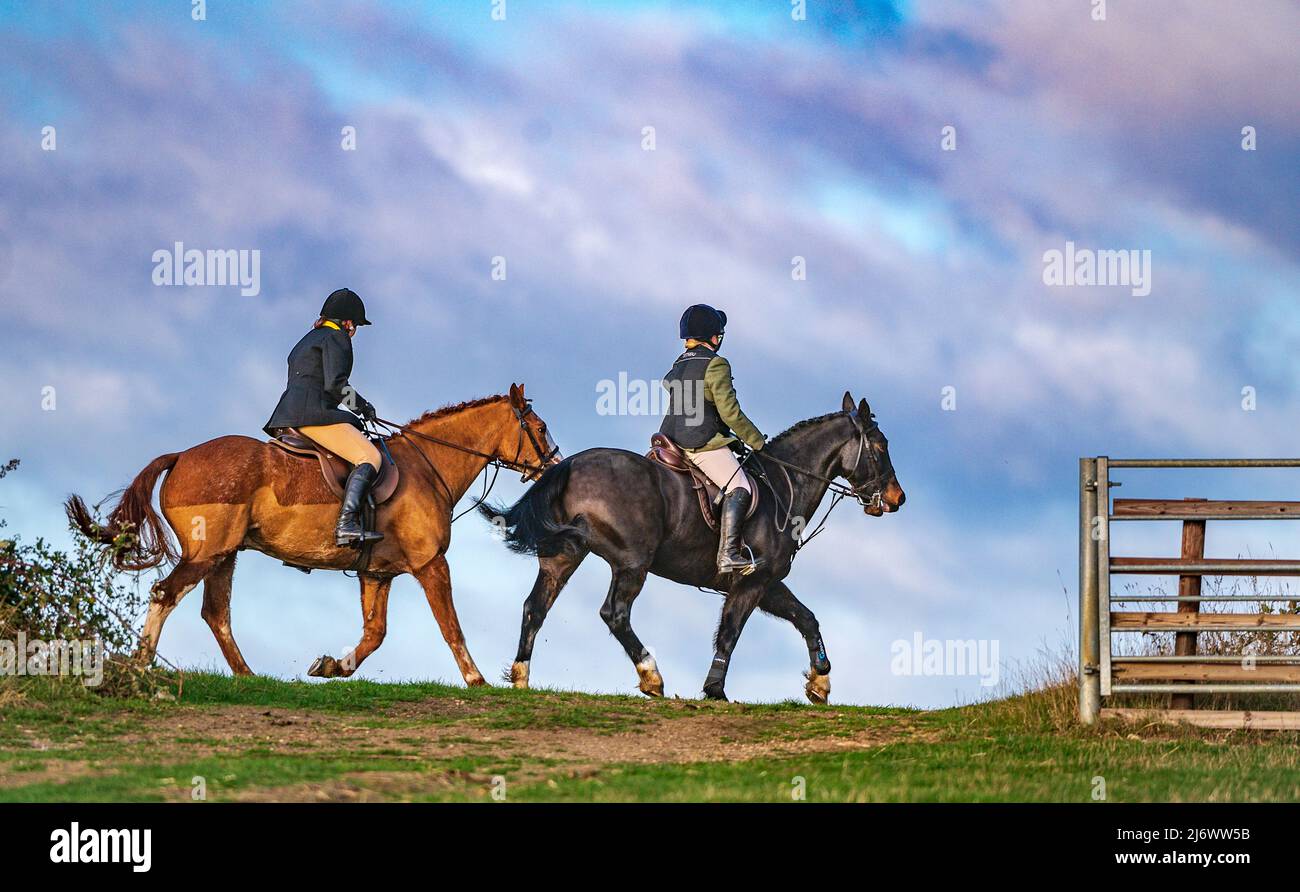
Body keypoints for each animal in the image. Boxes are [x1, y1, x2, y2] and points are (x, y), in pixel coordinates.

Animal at [68, 384, 559, 686]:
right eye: (539, 428)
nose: (554, 465)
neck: (427, 466)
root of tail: (182, 456)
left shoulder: (376, 574)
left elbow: (375, 633)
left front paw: (332, 666)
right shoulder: (430, 564)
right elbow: (450, 626)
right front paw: (476, 679)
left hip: (226, 554)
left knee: (215, 614)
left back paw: (247, 676)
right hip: (207, 553)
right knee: (165, 595)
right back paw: (141, 666)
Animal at [480, 390, 904, 707]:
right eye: (880, 446)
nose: (897, 499)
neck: (783, 487)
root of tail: (570, 464)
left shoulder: (768, 583)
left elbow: (807, 618)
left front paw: (820, 681)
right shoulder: (751, 582)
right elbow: (730, 632)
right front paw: (715, 690)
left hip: (564, 556)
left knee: (535, 607)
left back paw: (521, 677)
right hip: (632, 562)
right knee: (614, 613)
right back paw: (651, 676)